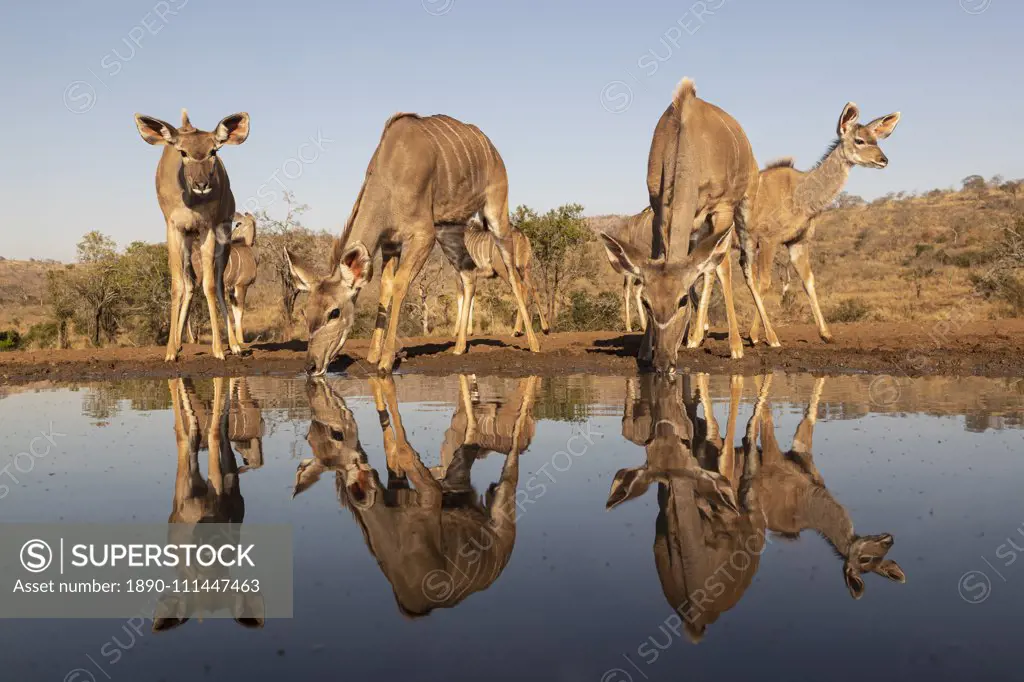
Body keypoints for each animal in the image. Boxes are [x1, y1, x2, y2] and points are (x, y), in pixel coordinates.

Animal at [135, 109, 250, 358]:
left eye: (213, 151)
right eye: (183, 152)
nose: (201, 184)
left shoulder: (208, 228)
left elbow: (209, 285)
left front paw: (218, 349)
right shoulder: (174, 228)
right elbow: (178, 285)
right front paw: (170, 351)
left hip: (223, 235)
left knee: (217, 283)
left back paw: (234, 344)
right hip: (188, 239)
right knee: (190, 283)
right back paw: (179, 343)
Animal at [286, 113, 540, 374]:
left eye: (334, 312)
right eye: (306, 312)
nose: (311, 365)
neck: (388, 178)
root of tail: (490, 147)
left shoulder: (423, 236)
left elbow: (400, 284)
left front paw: (386, 360)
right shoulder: (390, 243)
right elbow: (385, 287)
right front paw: (372, 355)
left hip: (496, 214)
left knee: (515, 279)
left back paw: (533, 343)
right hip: (448, 230)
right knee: (469, 274)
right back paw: (459, 347)